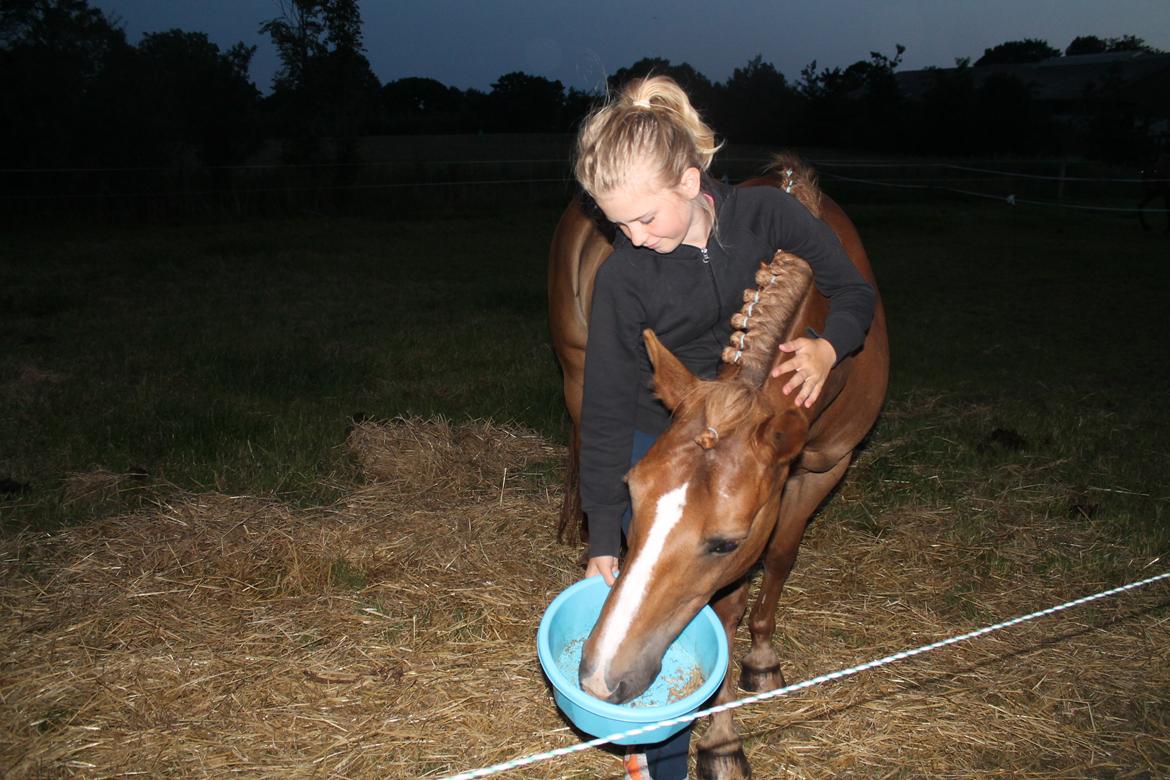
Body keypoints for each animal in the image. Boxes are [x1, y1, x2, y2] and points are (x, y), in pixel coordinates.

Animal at [547, 155, 884, 776]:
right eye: (632, 497)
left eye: (725, 542)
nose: (600, 678)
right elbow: (728, 612)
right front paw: (724, 742)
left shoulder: (826, 468)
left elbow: (780, 559)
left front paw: (762, 661)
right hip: (579, 373)